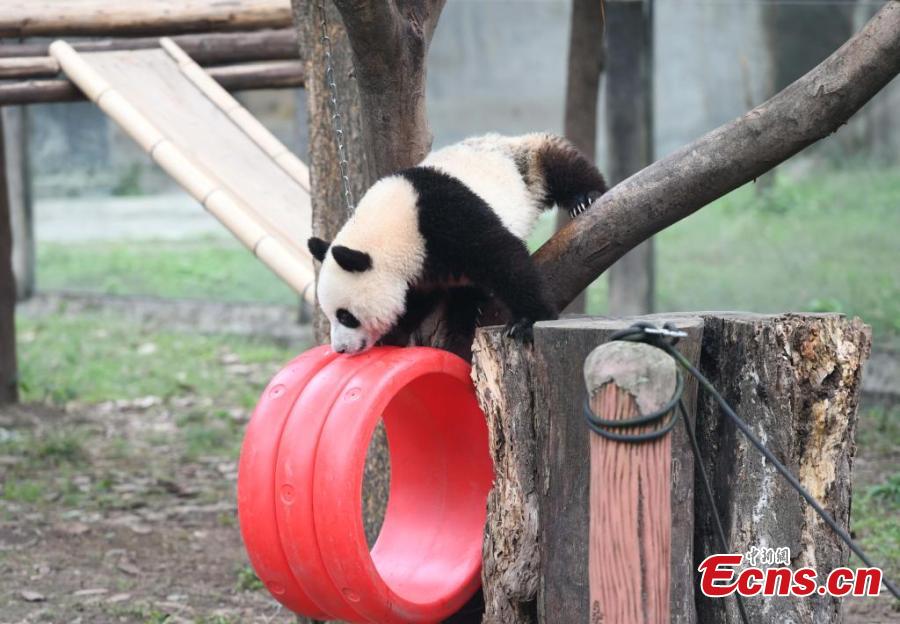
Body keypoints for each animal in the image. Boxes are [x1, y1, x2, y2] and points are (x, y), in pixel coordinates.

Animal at [307, 132, 607, 355]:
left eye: (345, 316)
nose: (340, 349)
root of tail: (496, 136)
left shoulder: (445, 219)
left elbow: (502, 257)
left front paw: (527, 320)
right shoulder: (419, 267)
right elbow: (415, 301)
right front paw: (394, 333)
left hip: (524, 162)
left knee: (560, 165)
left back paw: (585, 198)